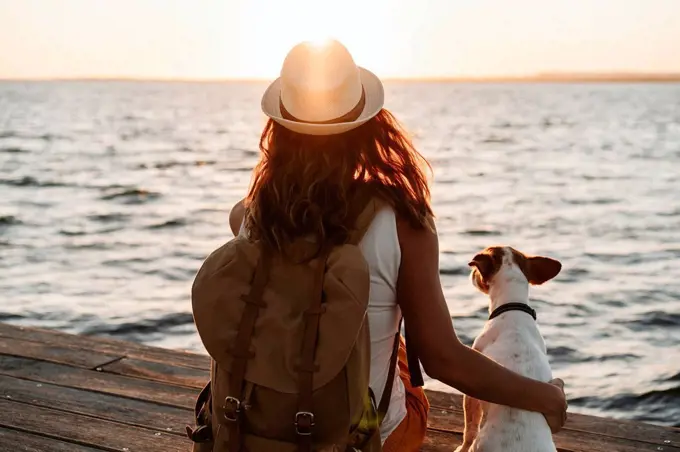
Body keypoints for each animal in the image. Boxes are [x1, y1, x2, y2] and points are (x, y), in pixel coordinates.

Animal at [454, 247, 560, 452]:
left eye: (477, 271)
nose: (471, 274)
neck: (513, 306)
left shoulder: (471, 391)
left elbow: (469, 427)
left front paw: (461, 447)